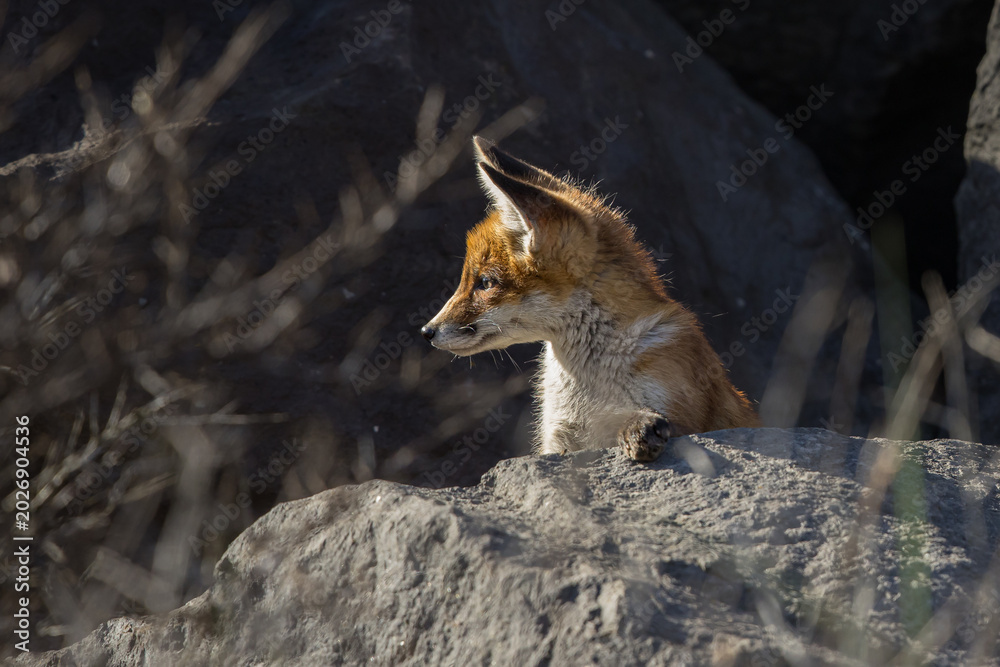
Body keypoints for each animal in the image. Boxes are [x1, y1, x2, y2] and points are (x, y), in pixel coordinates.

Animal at [420, 136, 759, 462]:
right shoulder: (558, 441)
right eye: (470, 279)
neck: (589, 387)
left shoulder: (680, 413)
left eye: (485, 283)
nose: (426, 331)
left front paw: (640, 430)